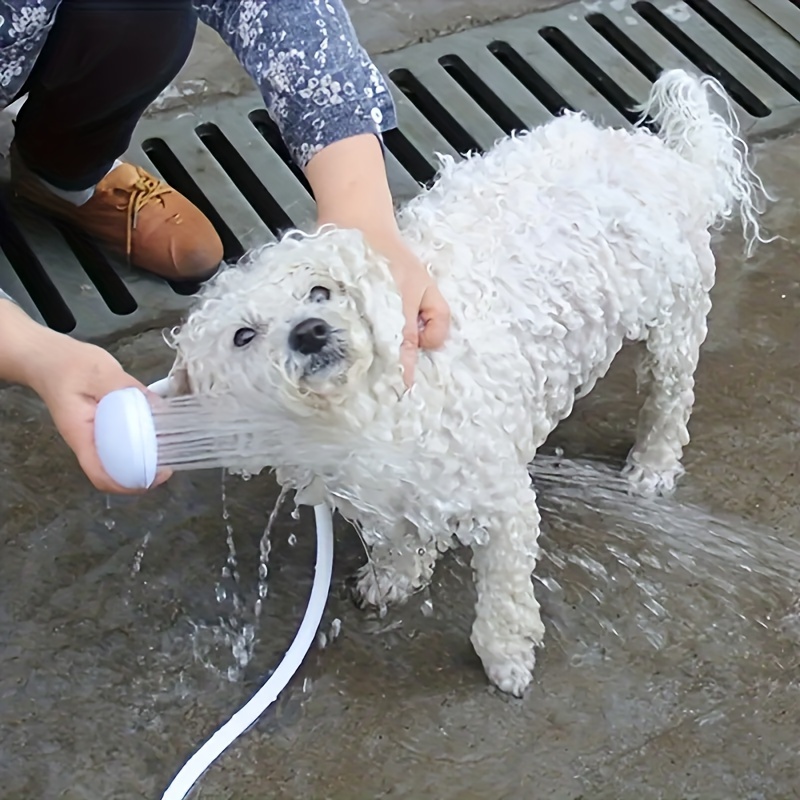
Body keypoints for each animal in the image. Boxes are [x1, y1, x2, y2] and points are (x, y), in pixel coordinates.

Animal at [167, 69, 768, 692]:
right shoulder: (378, 496)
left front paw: (505, 656)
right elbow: (397, 540)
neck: (367, 413)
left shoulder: (500, 500)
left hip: (674, 317)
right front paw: (395, 576)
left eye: (319, 290)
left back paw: (651, 464)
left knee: (671, 395)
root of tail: (667, 160)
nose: (310, 331)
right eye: (242, 336)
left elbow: (503, 595)